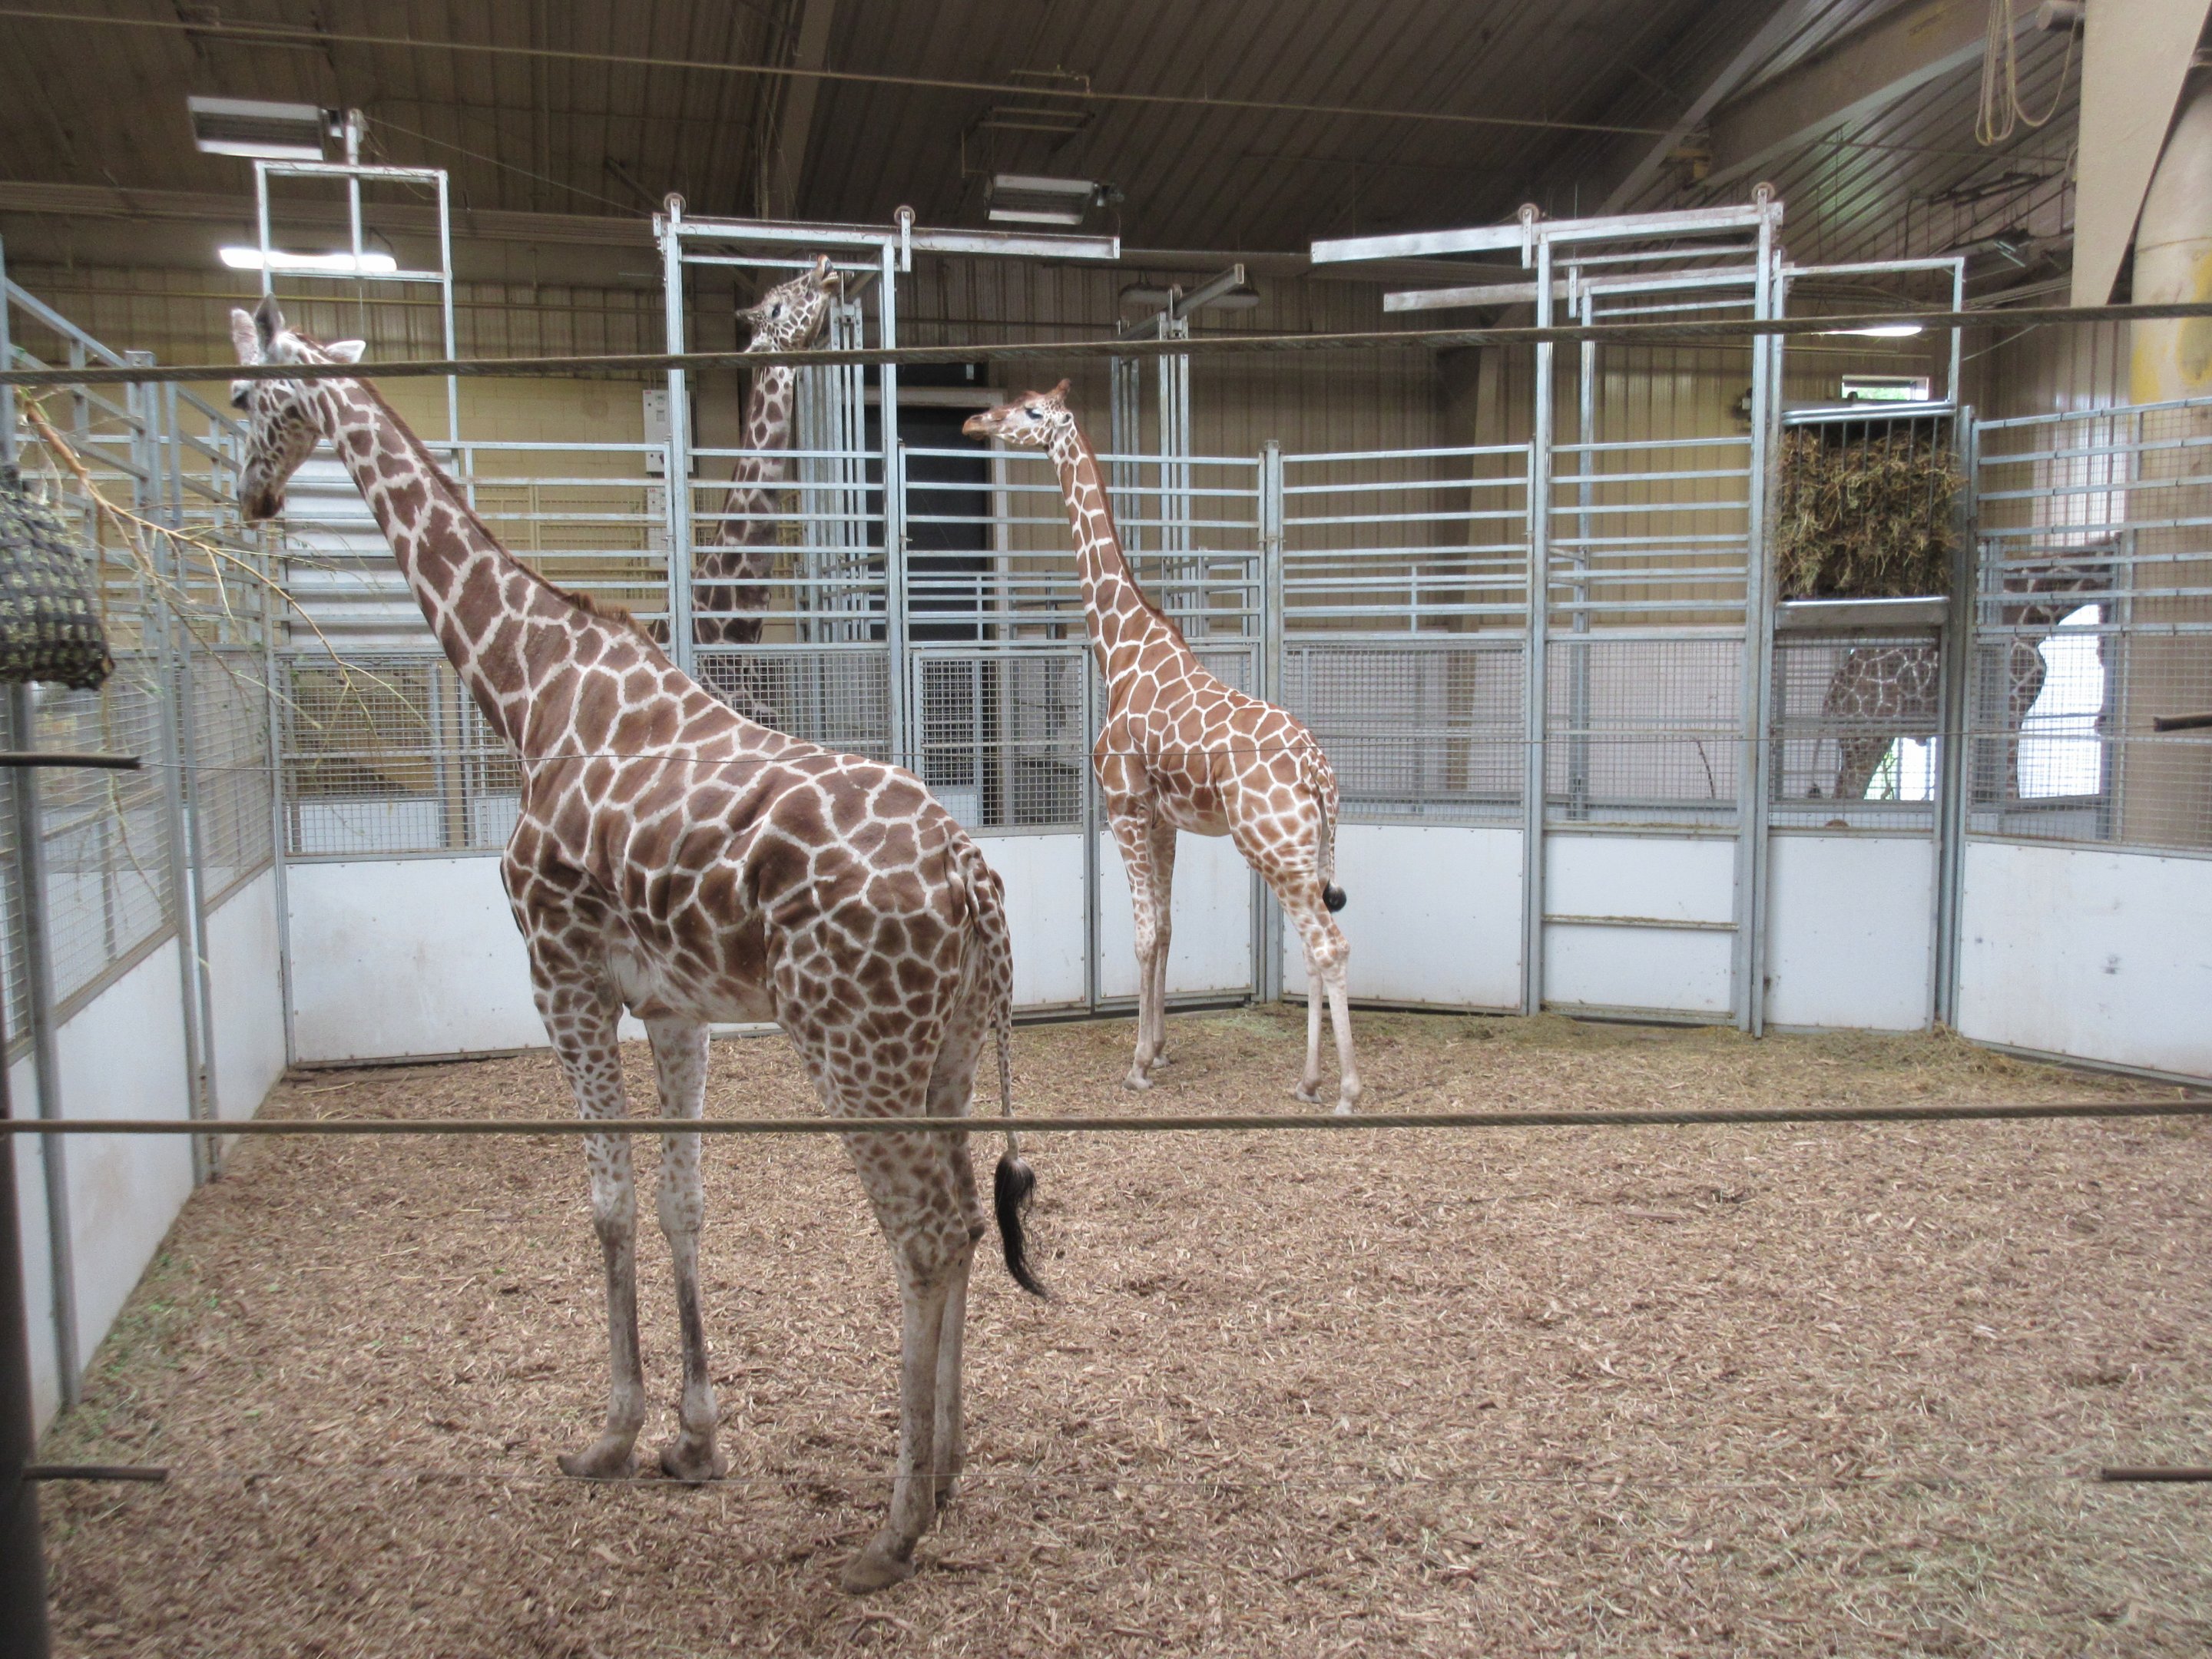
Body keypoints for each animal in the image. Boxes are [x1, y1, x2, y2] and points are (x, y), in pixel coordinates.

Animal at [965, 383, 1362, 1112]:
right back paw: (1308, 1079)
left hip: (1273, 847)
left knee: (1329, 946)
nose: (976, 420)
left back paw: (1346, 1090)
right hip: (1305, 853)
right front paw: (1160, 1048)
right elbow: (1169, 929)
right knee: (1313, 944)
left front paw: (1137, 1062)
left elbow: (1145, 931)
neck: (1120, 650)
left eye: (1033, 412)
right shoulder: (1163, 819)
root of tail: (1321, 775)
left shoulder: (1122, 804)